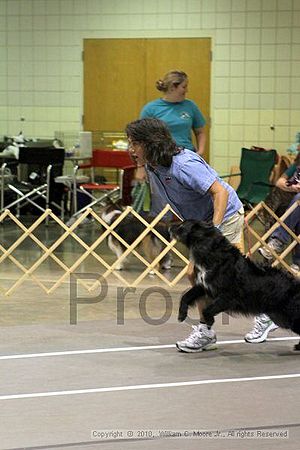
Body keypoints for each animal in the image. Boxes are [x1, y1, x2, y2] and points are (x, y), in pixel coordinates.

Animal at [170, 221, 298, 352]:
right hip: (278, 315)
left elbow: (207, 310)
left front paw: (209, 321)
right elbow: (185, 297)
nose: (170, 227)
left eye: (181, 226)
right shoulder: (204, 286)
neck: (213, 255)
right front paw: (181, 315)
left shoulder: (228, 297)